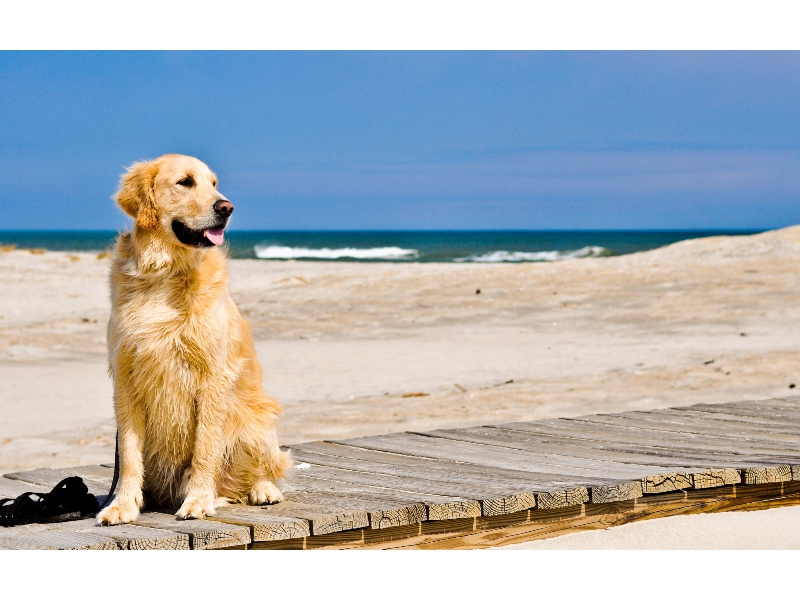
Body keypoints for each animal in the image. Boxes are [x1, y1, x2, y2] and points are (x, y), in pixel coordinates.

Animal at [97, 155, 290, 524]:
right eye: (185, 182)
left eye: (214, 184)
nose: (226, 207)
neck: (164, 273)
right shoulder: (125, 380)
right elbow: (128, 455)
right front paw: (123, 504)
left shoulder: (212, 378)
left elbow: (204, 448)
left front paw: (198, 501)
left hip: (256, 420)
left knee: (261, 470)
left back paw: (263, 490)